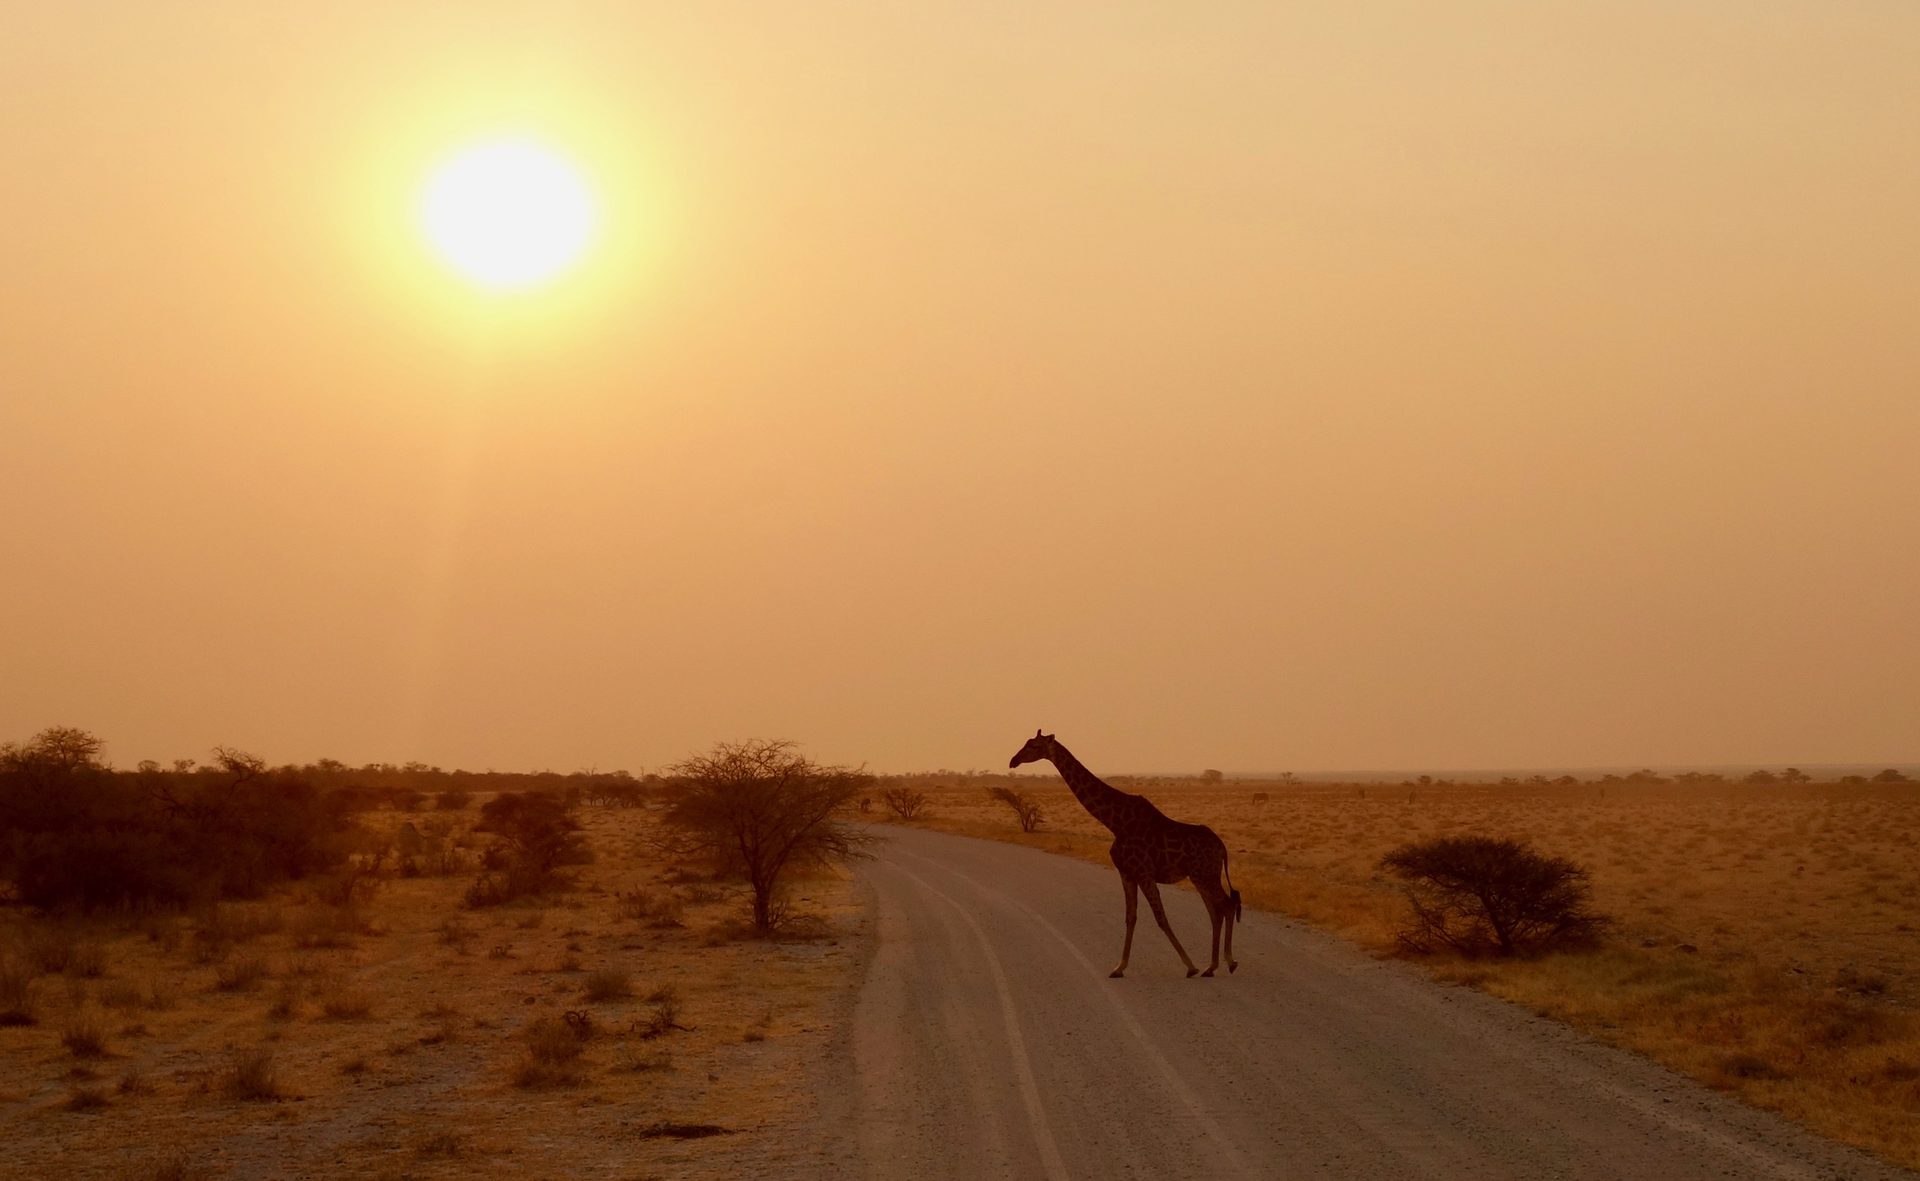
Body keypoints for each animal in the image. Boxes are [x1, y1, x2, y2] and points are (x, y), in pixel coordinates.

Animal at [1009, 730, 1241, 978]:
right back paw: (1212, 966)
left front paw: (1190, 966)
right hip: (1200, 877)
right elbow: (1131, 917)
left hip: (1205, 874)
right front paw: (1119, 967)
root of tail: (1222, 847)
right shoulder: (1126, 873)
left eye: (1034, 746)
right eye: (1027, 743)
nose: (1013, 760)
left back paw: (1229, 962)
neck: (1115, 822)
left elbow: (1160, 917)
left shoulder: (1143, 873)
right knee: (1215, 911)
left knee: (1226, 906)